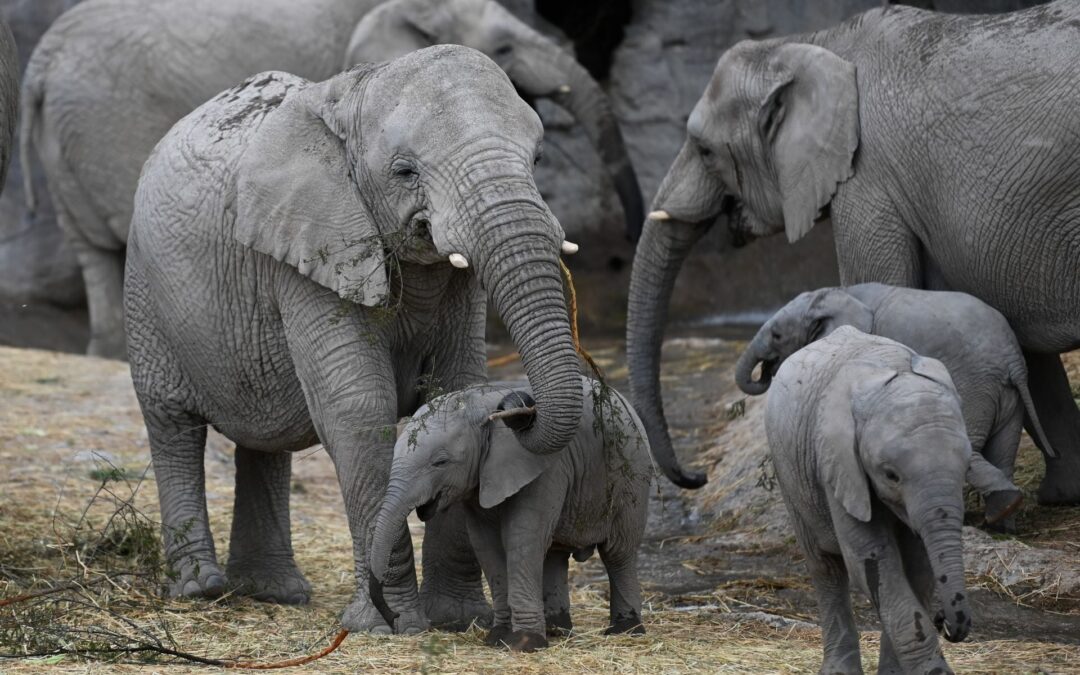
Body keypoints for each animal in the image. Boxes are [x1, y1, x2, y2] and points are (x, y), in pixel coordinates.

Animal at [124, 46, 586, 633]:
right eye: (405, 171)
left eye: (539, 158)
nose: (522, 411)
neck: (354, 95)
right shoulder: (312, 251)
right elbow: (358, 407)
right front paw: (392, 627)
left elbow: (456, 390)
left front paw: (460, 621)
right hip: (145, 292)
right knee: (172, 424)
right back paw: (201, 589)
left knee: (262, 441)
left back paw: (276, 593)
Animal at [368, 376, 652, 651]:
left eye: (441, 462)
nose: (393, 617)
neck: (480, 404)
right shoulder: (480, 480)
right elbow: (486, 545)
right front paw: (498, 638)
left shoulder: (544, 468)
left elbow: (522, 537)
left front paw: (526, 643)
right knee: (556, 554)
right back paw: (557, 630)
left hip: (632, 473)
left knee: (618, 552)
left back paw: (626, 631)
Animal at [737, 283, 1055, 530]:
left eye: (777, 335)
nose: (767, 371)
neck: (834, 293)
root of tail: (1012, 359)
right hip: (1007, 395)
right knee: (1003, 451)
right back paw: (1003, 523)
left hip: (974, 383)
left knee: (968, 446)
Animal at [766, 326, 972, 675]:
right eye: (891, 475)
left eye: (967, 469)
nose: (944, 621)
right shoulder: (837, 462)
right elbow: (870, 560)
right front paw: (935, 671)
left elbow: (916, 569)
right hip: (789, 473)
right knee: (826, 567)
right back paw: (838, 670)